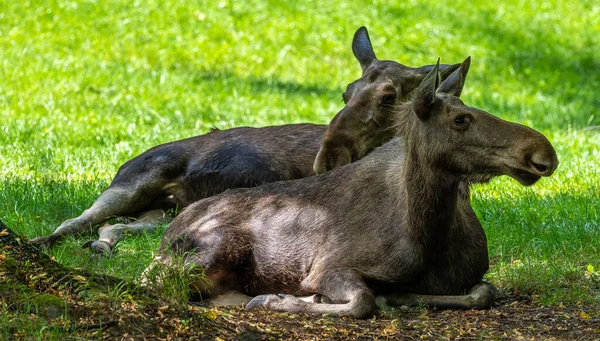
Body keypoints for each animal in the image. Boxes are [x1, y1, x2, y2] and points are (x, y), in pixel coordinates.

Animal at [30, 27, 458, 255]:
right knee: (76, 221)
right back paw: (39, 241)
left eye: (388, 97)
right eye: (345, 92)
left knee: (113, 228)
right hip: (132, 182)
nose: (328, 157)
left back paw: (101, 246)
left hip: (163, 212)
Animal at [151, 56, 556, 316]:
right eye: (460, 119)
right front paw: (278, 300)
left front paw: (399, 296)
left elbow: (484, 291)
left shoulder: (473, 276)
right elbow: (362, 301)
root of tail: (170, 228)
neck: (430, 232)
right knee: (160, 280)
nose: (543, 151)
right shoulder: (329, 268)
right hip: (209, 251)